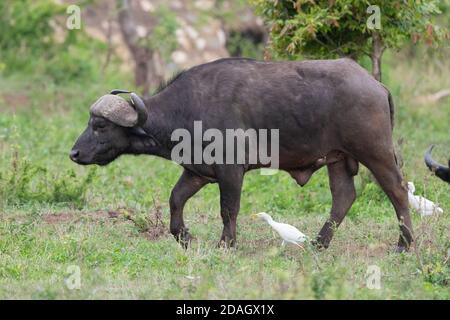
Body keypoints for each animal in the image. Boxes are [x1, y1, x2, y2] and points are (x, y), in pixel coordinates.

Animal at [71, 58, 414, 252]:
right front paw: (184, 237)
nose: (74, 153)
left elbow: (228, 209)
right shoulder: (198, 171)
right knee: (343, 196)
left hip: (375, 151)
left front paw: (227, 244)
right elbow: (175, 199)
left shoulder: (230, 170)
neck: (189, 108)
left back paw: (404, 244)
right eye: (89, 122)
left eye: (100, 125)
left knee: (398, 191)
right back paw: (319, 244)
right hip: (339, 159)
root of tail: (375, 84)